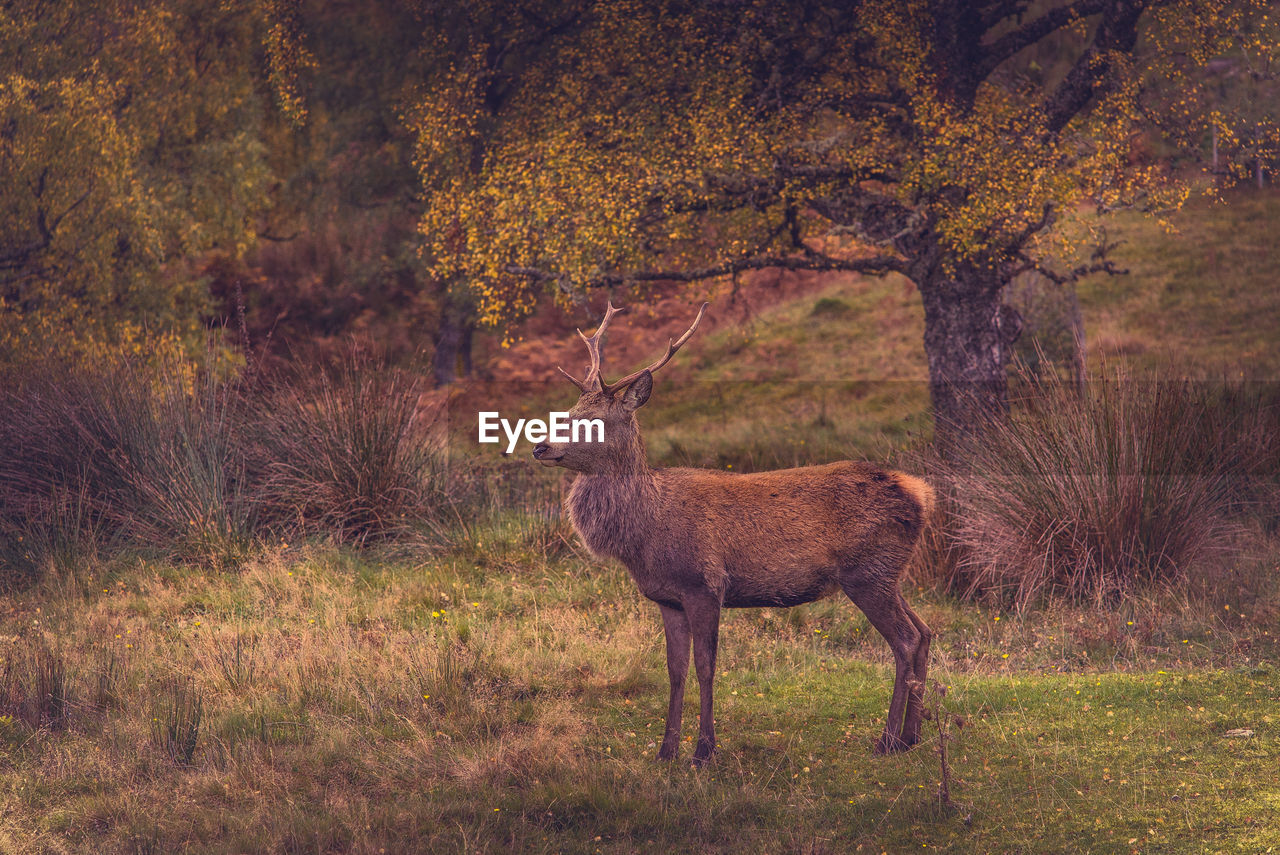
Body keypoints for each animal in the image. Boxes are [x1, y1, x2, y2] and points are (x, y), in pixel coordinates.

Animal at [535, 302, 936, 767]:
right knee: (925, 631)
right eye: (567, 413)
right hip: (890, 573)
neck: (646, 532)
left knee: (905, 640)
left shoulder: (705, 585)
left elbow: (706, 667)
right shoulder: (667, 598)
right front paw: (665, 751)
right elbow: (675, 671)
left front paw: (703, 750)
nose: (540, 446)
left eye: (595, 421)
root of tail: (921, 493)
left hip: (867, 573)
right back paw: (912, 736)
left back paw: (887, 741)